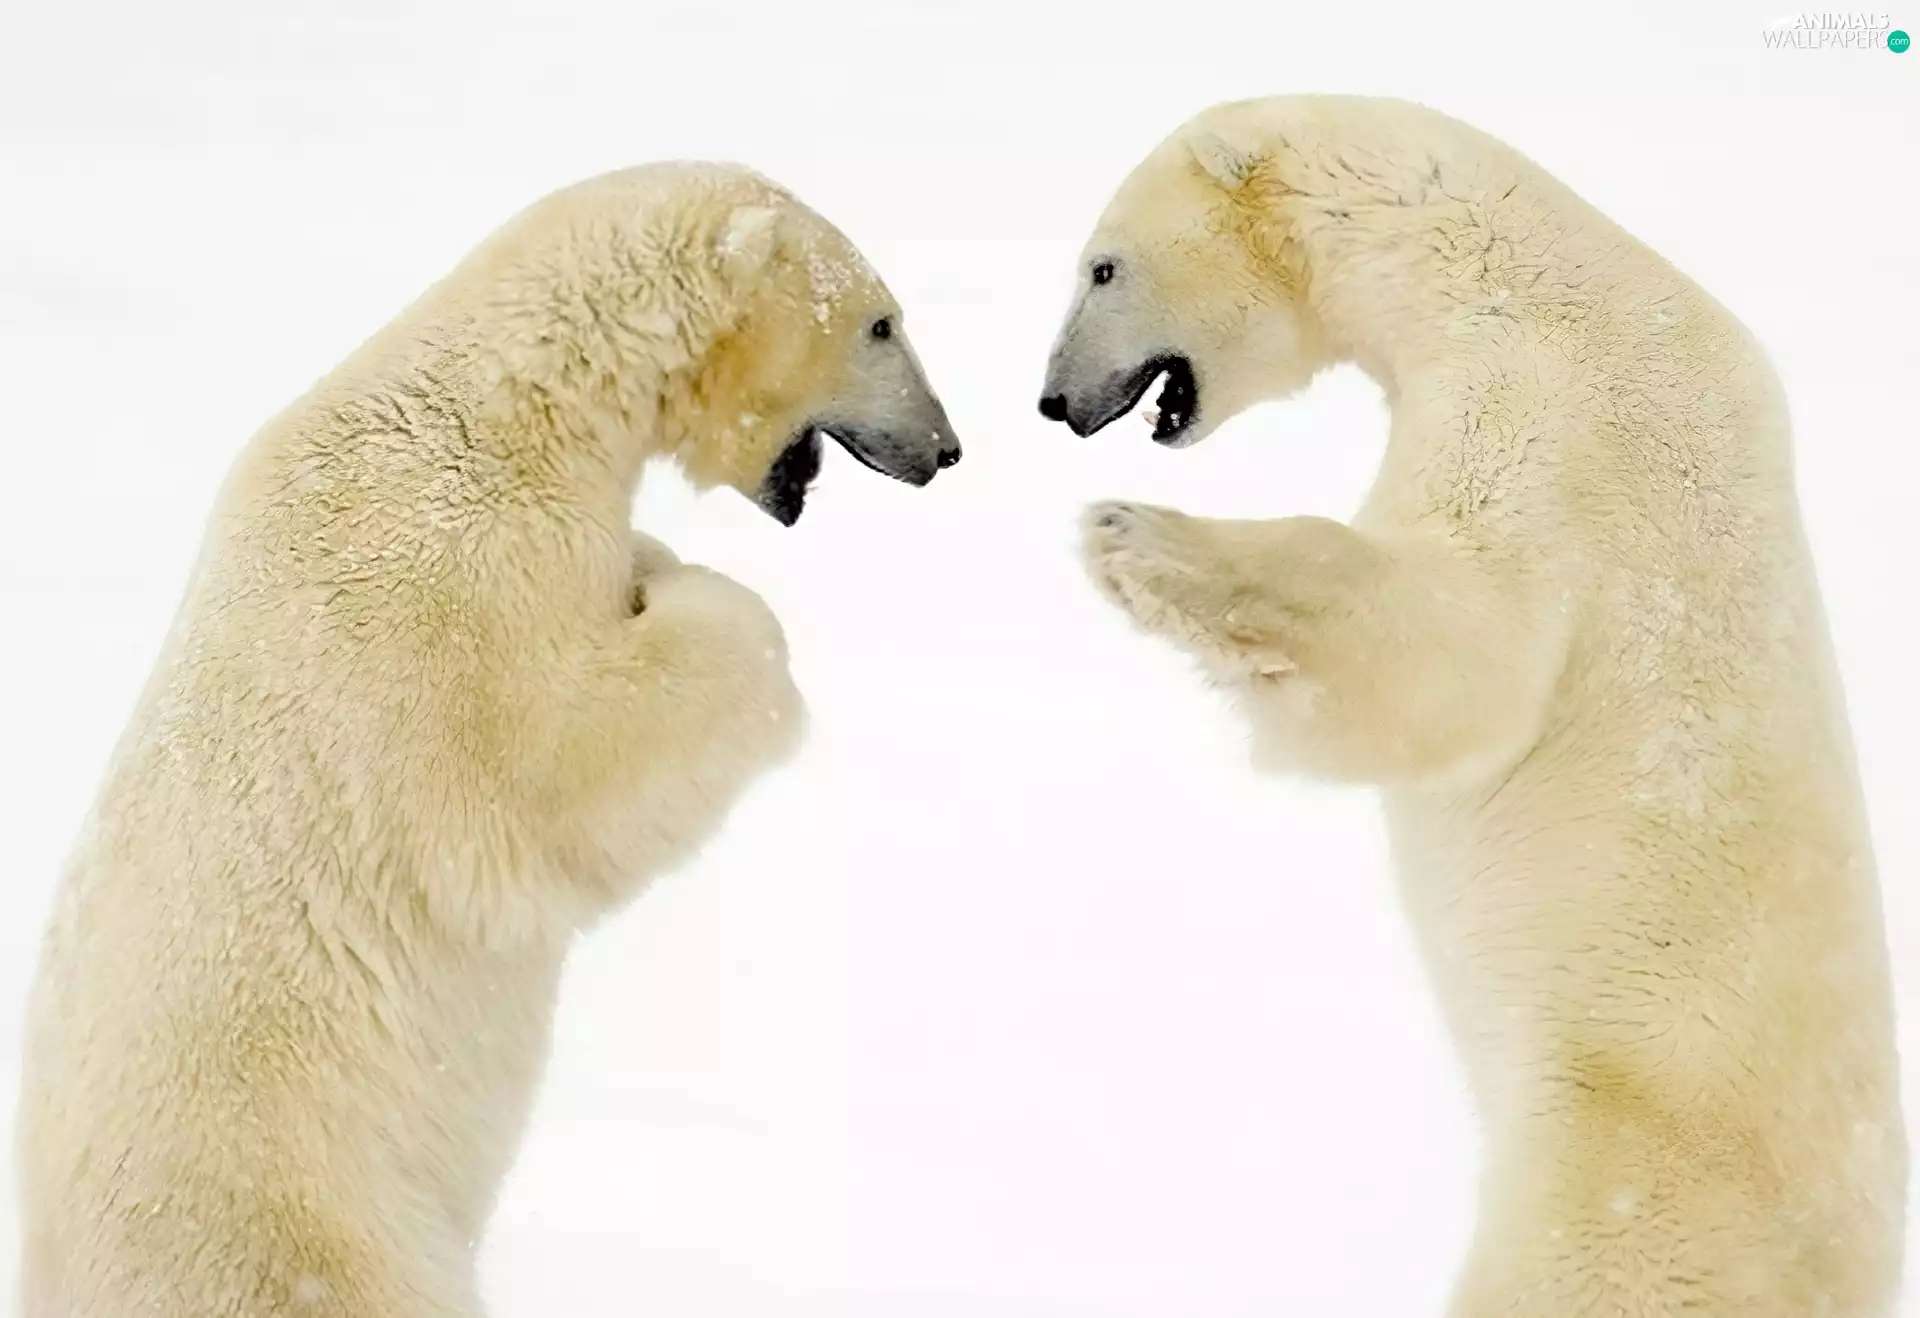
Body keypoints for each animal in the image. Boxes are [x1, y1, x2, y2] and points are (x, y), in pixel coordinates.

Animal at [18, 162, 958, 1317]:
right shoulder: (447, 584)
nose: (945, 448)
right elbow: (557, 768)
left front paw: (653, 562)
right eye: (882, 323)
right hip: (306, 1229)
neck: (509, 406)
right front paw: (699, 599)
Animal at [1039, 95, 1905, 1316]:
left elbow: (1465, 652)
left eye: (1102, 266)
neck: (1493, 256)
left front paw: (1139, 538)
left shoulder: (1551, 408)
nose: (1054, 401)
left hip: (1622, 1183)